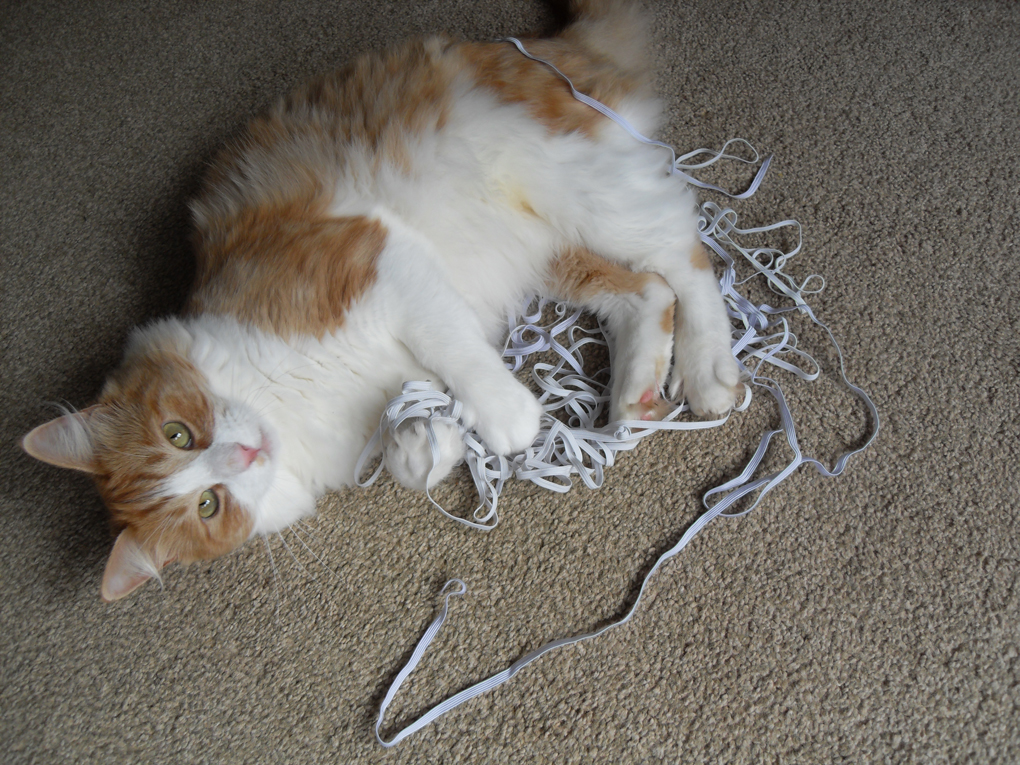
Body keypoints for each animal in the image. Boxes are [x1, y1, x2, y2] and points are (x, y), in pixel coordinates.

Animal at [19, 0, 738, 603]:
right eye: (209, 505)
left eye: (178, 434)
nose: (244, 455)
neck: (286, 400)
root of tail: (539, 46)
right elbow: (416, 449)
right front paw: (429, 442)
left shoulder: (380, 260)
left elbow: (460, 356)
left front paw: (509, 421)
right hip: (553, 250)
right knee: (648, 291)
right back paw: (636, 392)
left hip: (577, 191)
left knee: (685, 254)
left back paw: (709, 372)